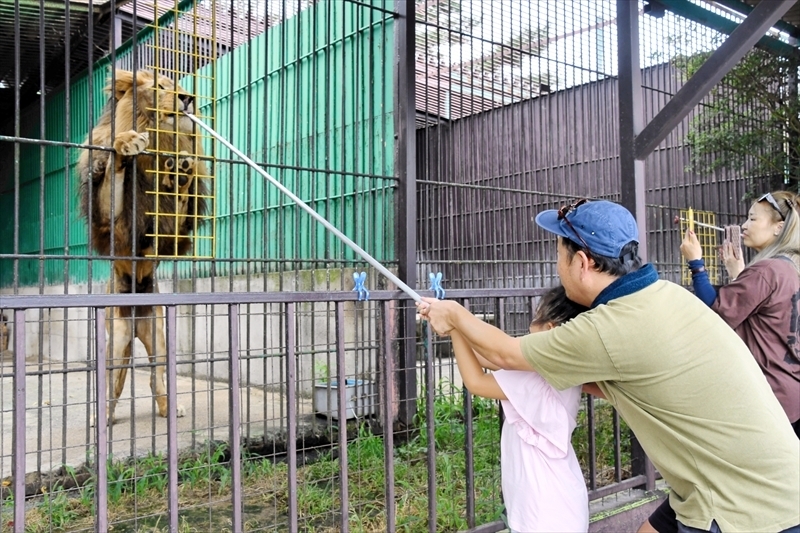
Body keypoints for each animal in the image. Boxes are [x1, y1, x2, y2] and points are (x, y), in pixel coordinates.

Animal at [76, 69, 209, 424]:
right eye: (160, 87)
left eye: (180, 86)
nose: (188, 98)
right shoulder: (113, 225)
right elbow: (114, 170)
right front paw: (126, 144)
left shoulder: (171, 232)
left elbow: (179, 204)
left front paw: (183, 172)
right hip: (115, 340)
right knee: (111, 384)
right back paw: (102, 418)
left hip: (159, 335)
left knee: (155, 378)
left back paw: (168, 408)